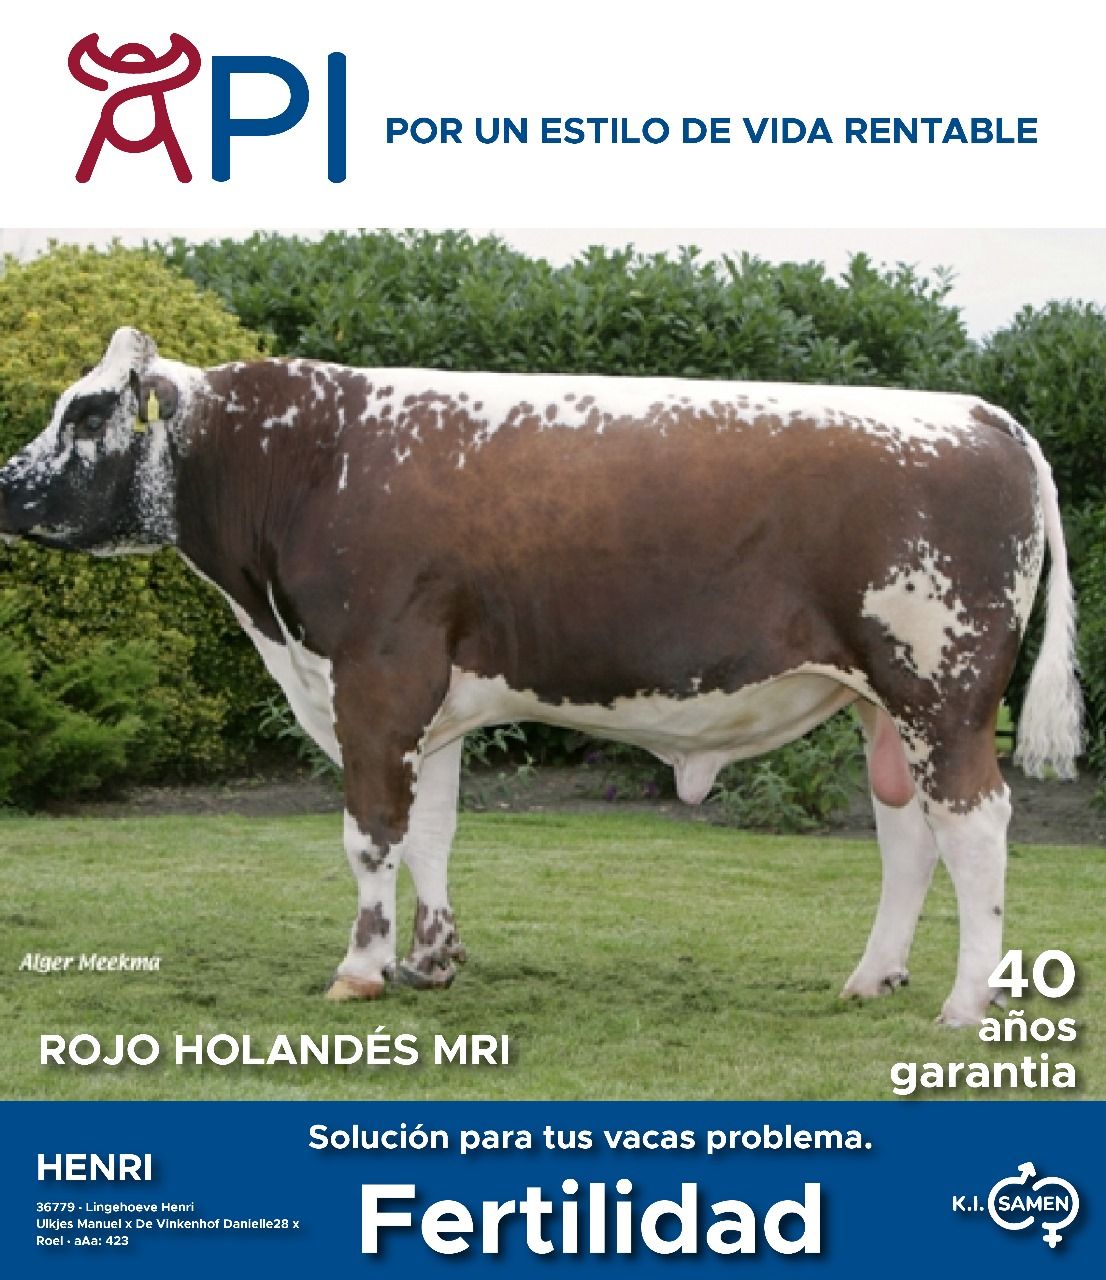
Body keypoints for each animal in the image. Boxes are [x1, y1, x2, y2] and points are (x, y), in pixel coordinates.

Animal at [0, 327, 1083, 1026]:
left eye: (86, 411)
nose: (6, 487)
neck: (312, 460)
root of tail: (979, 413)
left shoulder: (376, 677)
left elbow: (370, 832)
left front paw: (360, 968)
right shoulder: (428, 699)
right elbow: (430, 829)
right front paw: (431, 959)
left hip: (940, 685)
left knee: (973, 825)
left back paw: (964, 1002)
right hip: (881, 703)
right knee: (908, 831)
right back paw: (872, 978)